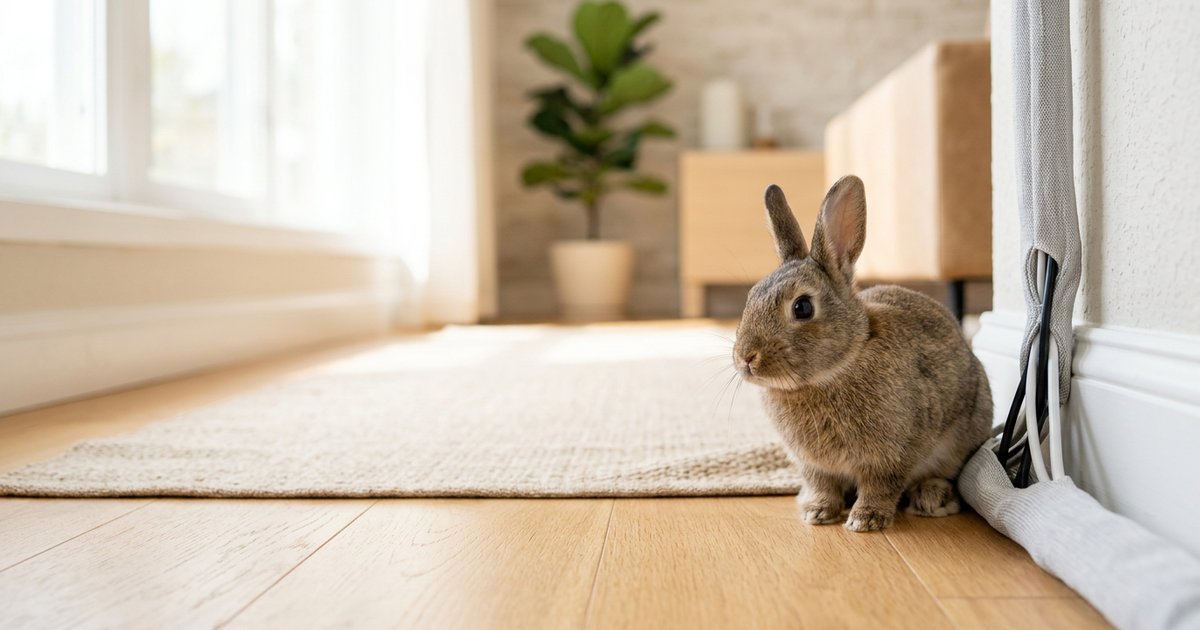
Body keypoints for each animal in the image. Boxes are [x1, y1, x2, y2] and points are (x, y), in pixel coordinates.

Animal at [733, 175, 992, 532]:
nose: (746, 357)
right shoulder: (814, 466)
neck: (839, 366)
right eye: (750, 297)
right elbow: (823, 485)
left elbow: (881, 485)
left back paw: (931, 497)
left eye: (802, 307)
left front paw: (866, 520)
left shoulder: (892, 455)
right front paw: (817, 512)